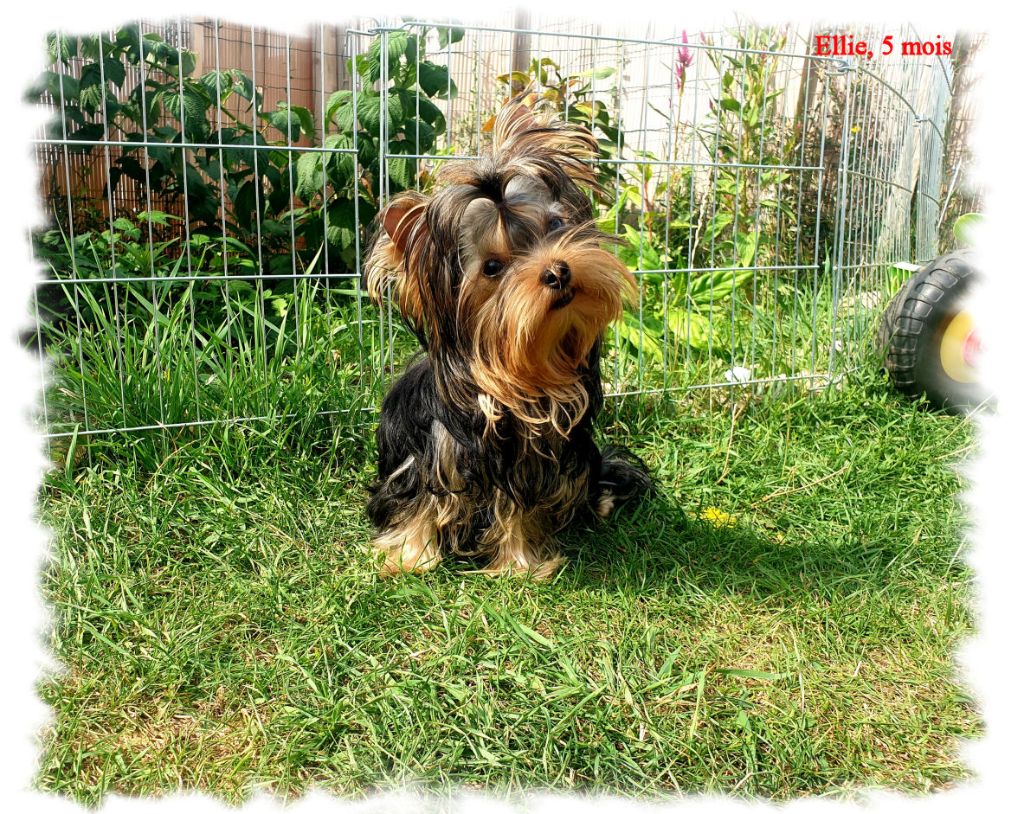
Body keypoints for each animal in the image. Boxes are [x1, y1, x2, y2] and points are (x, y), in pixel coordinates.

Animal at [364, 102, 650, 578]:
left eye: (555, 224)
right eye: (493, 268)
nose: (558, 271)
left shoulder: (536, 462)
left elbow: (519, 510)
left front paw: (522, 564)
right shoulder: (429, 454)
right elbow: (421, 501)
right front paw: (409, 557)